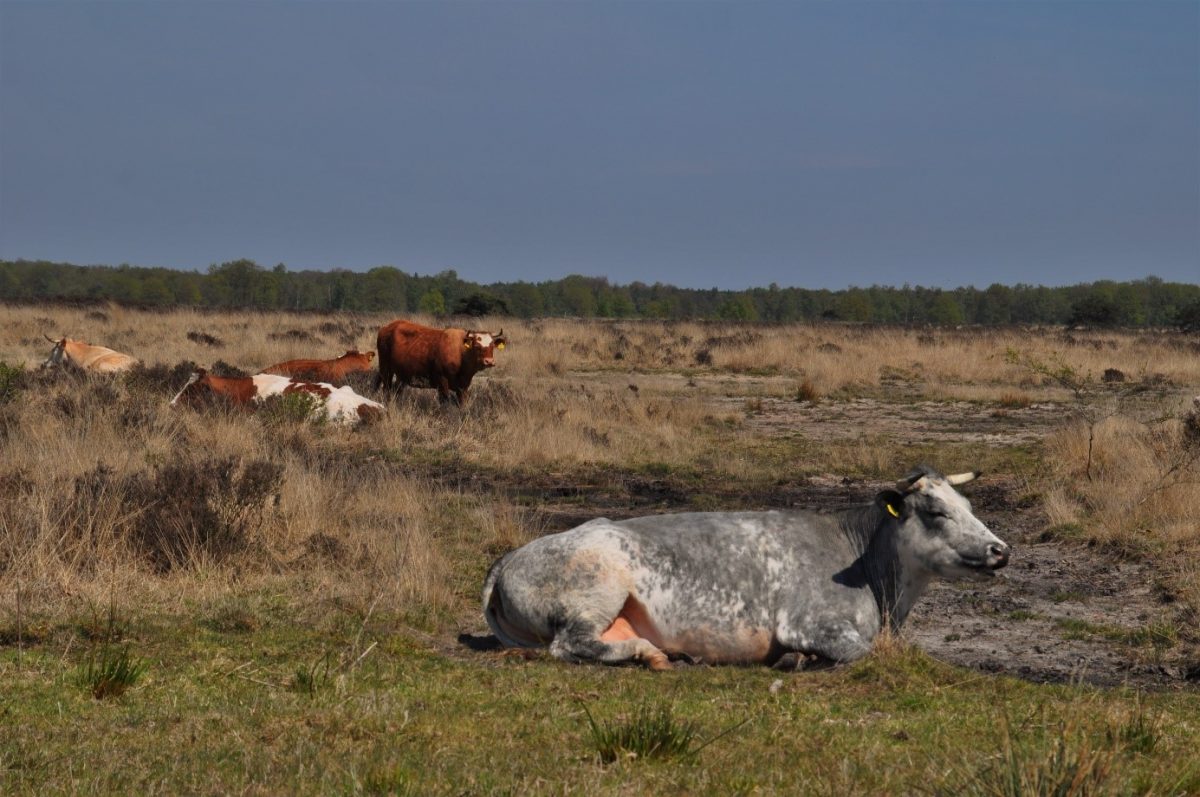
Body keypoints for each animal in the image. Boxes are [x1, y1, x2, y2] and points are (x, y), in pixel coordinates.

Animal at [374, 319, 506, 405]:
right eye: (477, 346)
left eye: (492, 346)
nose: (489, 361)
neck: (460, 352)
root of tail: (386, 328)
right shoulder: (442, 381)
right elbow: (445, 402)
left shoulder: (463, 387)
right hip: (385, 369)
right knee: (386, 388)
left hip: (401, 376)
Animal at [482, 463, 1008, 667]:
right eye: (937, 512)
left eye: (969, 506)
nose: (1000, 549)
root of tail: (508, 558)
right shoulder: (809, 622)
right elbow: (859, 652)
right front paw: (800, 660)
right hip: (596, 592)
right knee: (571, 645)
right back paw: (649, 654)